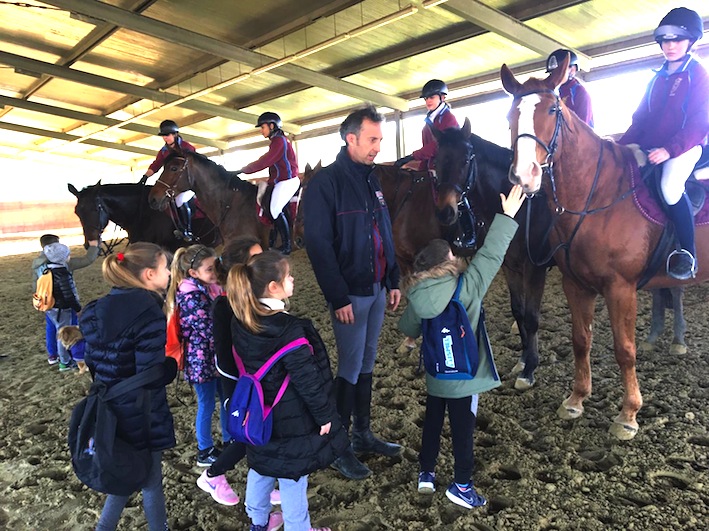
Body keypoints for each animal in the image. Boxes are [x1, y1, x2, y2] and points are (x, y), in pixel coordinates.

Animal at [498, 57, 708, 440]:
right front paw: (576, 400)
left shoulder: (620, 288)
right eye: (510, 115)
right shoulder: (575, 284)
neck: (598, 197)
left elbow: (624, 350)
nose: (525, 176)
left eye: (553, 109)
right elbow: (581, 340)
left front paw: (628, 415)